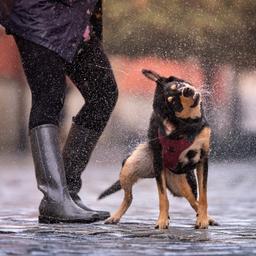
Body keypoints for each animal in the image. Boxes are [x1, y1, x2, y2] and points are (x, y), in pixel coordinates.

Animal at [99, 69, 217, 230]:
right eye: (174, 102)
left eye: (177, 85)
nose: (186, 90)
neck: (188, 125)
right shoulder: (158, 161)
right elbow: (162, 197)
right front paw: (162, 221)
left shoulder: (202, 159)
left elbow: (204, 196)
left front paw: (203, 220)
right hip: (130, 166)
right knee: (129, 197)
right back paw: (115, 216)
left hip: (185, 183)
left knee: (194, 201)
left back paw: (207, 218)